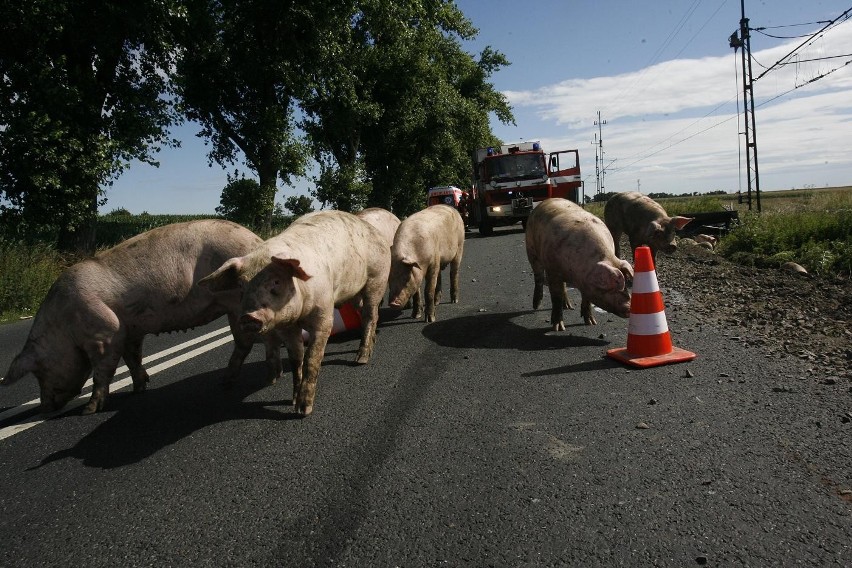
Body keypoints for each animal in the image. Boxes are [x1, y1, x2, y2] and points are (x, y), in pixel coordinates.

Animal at [2, 221, 282, 412]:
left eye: (39, 371)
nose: (44, 408)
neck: (62, 325)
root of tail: (257, 240)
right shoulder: (129, 330)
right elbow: (132, 358)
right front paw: (139, 389)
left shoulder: (105, 332)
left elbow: (102, 371)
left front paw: (89, 410)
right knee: (250, 343)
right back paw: (233, 381)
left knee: (251, 343)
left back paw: (248, 379)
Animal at [196, 211, 390, 414]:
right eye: (241, 285)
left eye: (276, 282)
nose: (248, 317)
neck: (300, 315)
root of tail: (377, 233)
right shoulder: (285, 327)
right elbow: (296, 359)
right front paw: (293, 402)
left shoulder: (324, 315)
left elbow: (312, 358)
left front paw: (303, 410)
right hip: (355, 293)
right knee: (368, 314)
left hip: (376, 279)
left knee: (370, 315)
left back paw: (361, 359)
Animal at [524, 197, 636, 326]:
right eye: (612, 287)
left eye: (626, 285)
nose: (630, 307)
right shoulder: (552, 270)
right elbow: (556, 297)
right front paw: (558, 327)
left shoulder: (585, 282)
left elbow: (586, 300)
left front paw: (591, 322)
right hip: (531, 249)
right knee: (538, 278)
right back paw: (536, 306)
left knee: (563, 287)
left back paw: (568, 306)